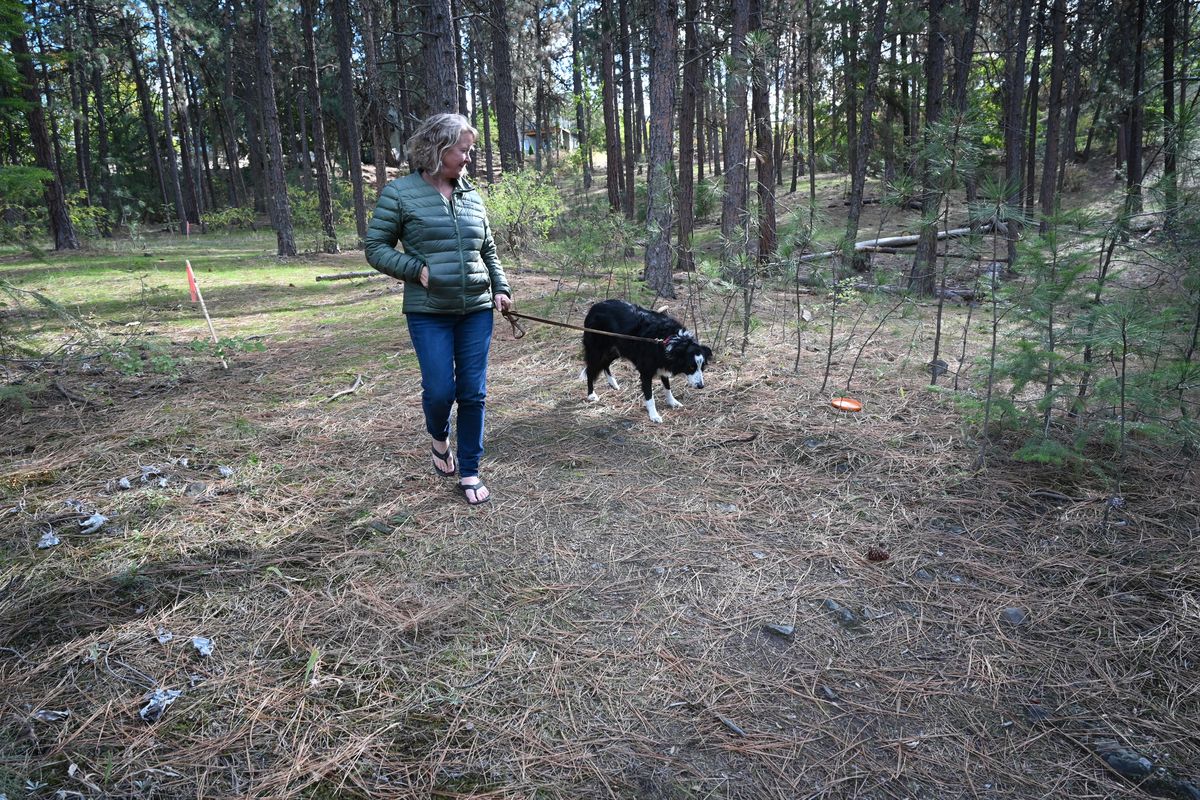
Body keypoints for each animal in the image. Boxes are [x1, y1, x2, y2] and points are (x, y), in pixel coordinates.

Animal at [580, 299, 710, 424]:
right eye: (691, 367)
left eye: (702, 367)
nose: (701, 386)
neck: (670, 340)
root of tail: (594, 306)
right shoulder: (646, 371)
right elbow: (650, 396)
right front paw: (654, 416)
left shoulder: (663, 362)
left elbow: (667, 387)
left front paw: (672, 402)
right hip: (597, 350)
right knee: (591, 370)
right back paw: (591, 395)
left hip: (615, 350)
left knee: (605, 364)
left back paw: (613, 383)